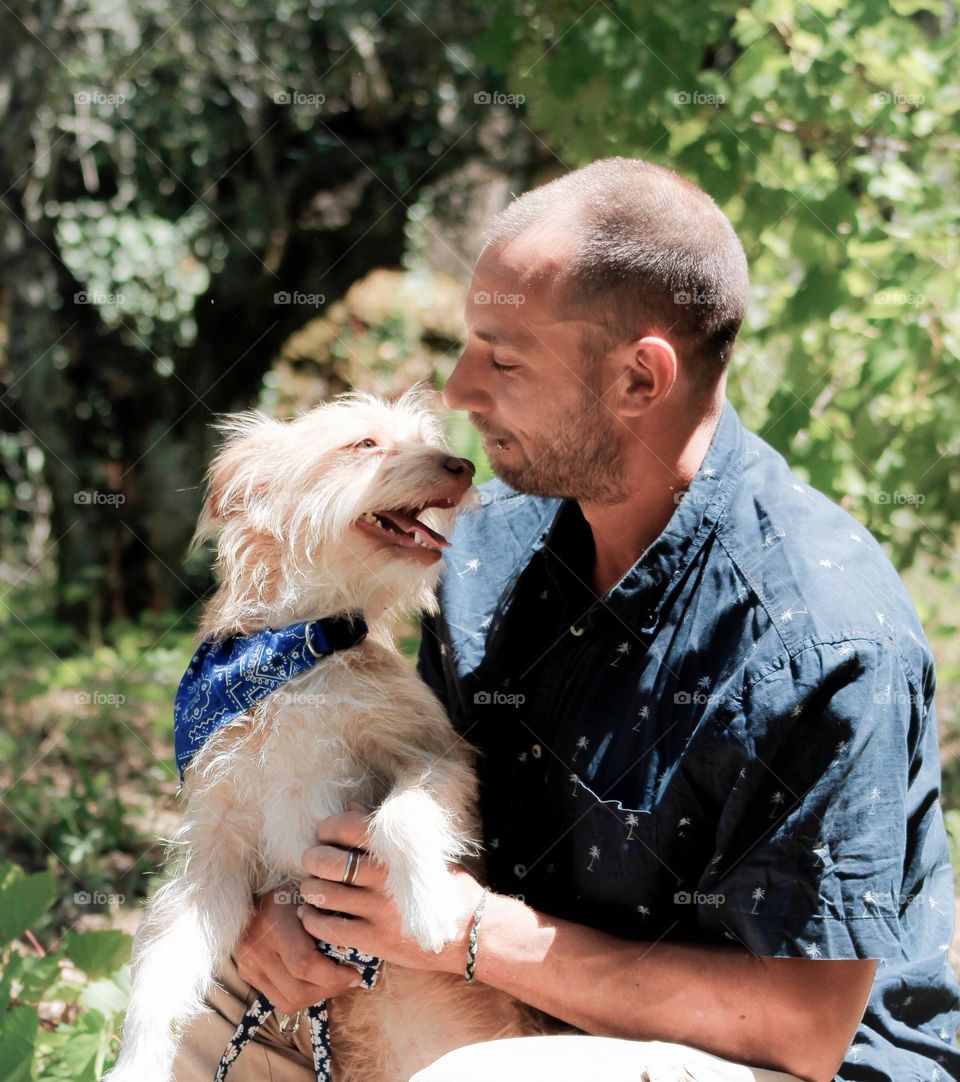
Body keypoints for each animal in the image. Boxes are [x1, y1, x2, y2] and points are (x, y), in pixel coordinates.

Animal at [106, 389, 551, 1082]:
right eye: (363, 445)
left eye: (425, 439)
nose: (462, 465)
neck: (298, 651)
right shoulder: (217, 853)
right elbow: (162, 962)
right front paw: (136, 1063)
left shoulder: (438, 757)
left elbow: (399, 817)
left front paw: (427, 908)